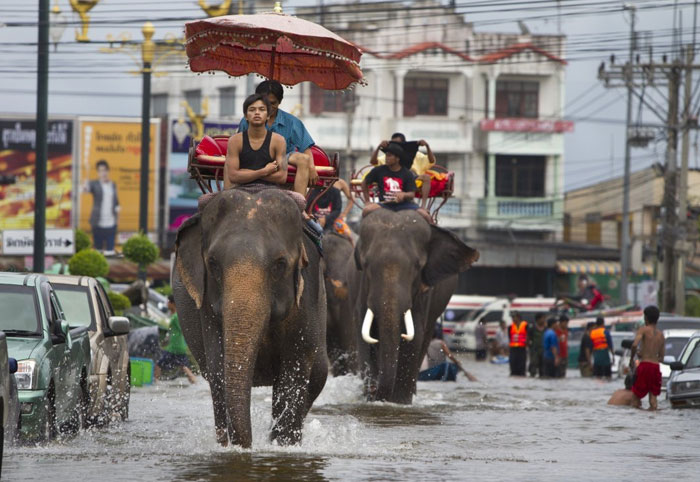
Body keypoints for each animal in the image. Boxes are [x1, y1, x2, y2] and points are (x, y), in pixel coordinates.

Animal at [174, 188, 330, 448]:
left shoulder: (307, 295)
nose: (247, 445)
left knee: (317, 375)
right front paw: (229, 446)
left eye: (280, 264)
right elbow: (219, 367)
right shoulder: (207, 308)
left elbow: (294, 372)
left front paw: (282, 446)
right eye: (213, 264)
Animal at [348, 209, 478, 404]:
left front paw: (398, 403)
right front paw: (371, 396)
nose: (374, 390)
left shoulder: (423, 296)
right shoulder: (361, 290)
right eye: (366, 264)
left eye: (418, 266)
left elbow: (413, 338)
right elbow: (365, 336)